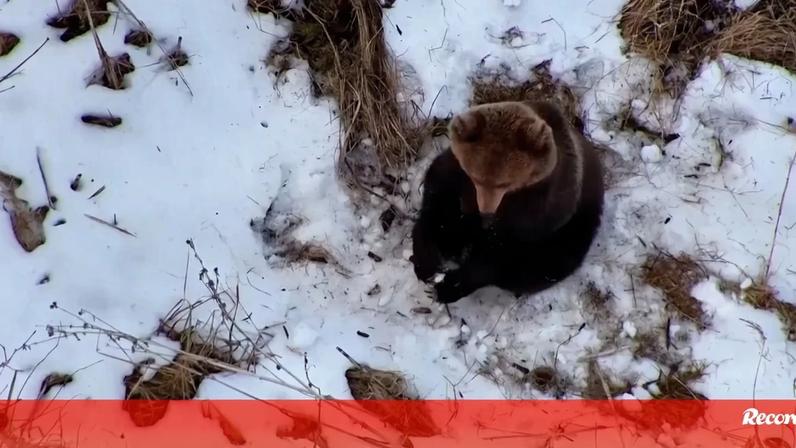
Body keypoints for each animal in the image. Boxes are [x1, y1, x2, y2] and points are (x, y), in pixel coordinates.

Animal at [410, 100, 604, 304]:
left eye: (504, 183)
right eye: (476, 177)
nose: (486, 212)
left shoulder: (538, 209)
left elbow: (501, 254)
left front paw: (448, 285)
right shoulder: (455, 175)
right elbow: (437, 204)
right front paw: (426, 261)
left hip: (575, 229)